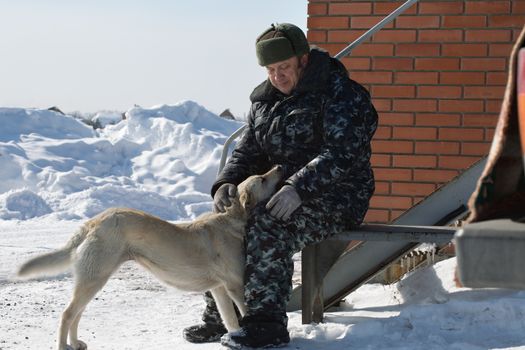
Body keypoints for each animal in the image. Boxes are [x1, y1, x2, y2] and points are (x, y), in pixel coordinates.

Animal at [16, 165, 282, 348]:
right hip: (94, 278)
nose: (279, 166)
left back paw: (75, 343)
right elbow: (244, 314)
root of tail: (94, 221)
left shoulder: (219, 289)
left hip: (90, 281)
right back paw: (64, 346)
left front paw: (236, 337)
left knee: (76, 314)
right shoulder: (235, 285)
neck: (231, 219)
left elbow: (231, 321)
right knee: (67, 314)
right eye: (262, 178)